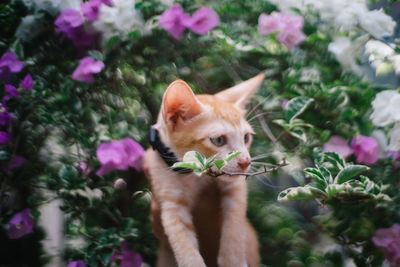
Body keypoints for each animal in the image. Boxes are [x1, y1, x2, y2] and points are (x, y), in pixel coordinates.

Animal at [144, 74, 266, 267]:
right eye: (218, 140)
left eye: (246, 137)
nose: (246, 162)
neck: (195, 177)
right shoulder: (171, 203)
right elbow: (184, 244)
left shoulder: (236, 188)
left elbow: (234, 222)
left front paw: (233, 259)